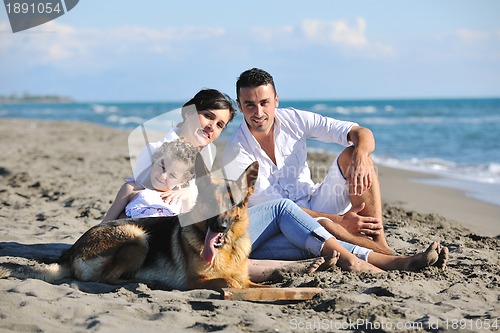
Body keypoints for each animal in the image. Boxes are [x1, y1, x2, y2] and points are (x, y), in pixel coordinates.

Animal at [1, 157, 262, 290]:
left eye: (234, 203)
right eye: (210, 201)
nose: (220, 227)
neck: (227, 249)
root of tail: (71, 252)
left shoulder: (246, 278)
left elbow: (248, 283)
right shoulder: (193, 281)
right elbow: (230, 281)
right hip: (137, 237)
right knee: (106, 278)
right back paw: (147, 281)